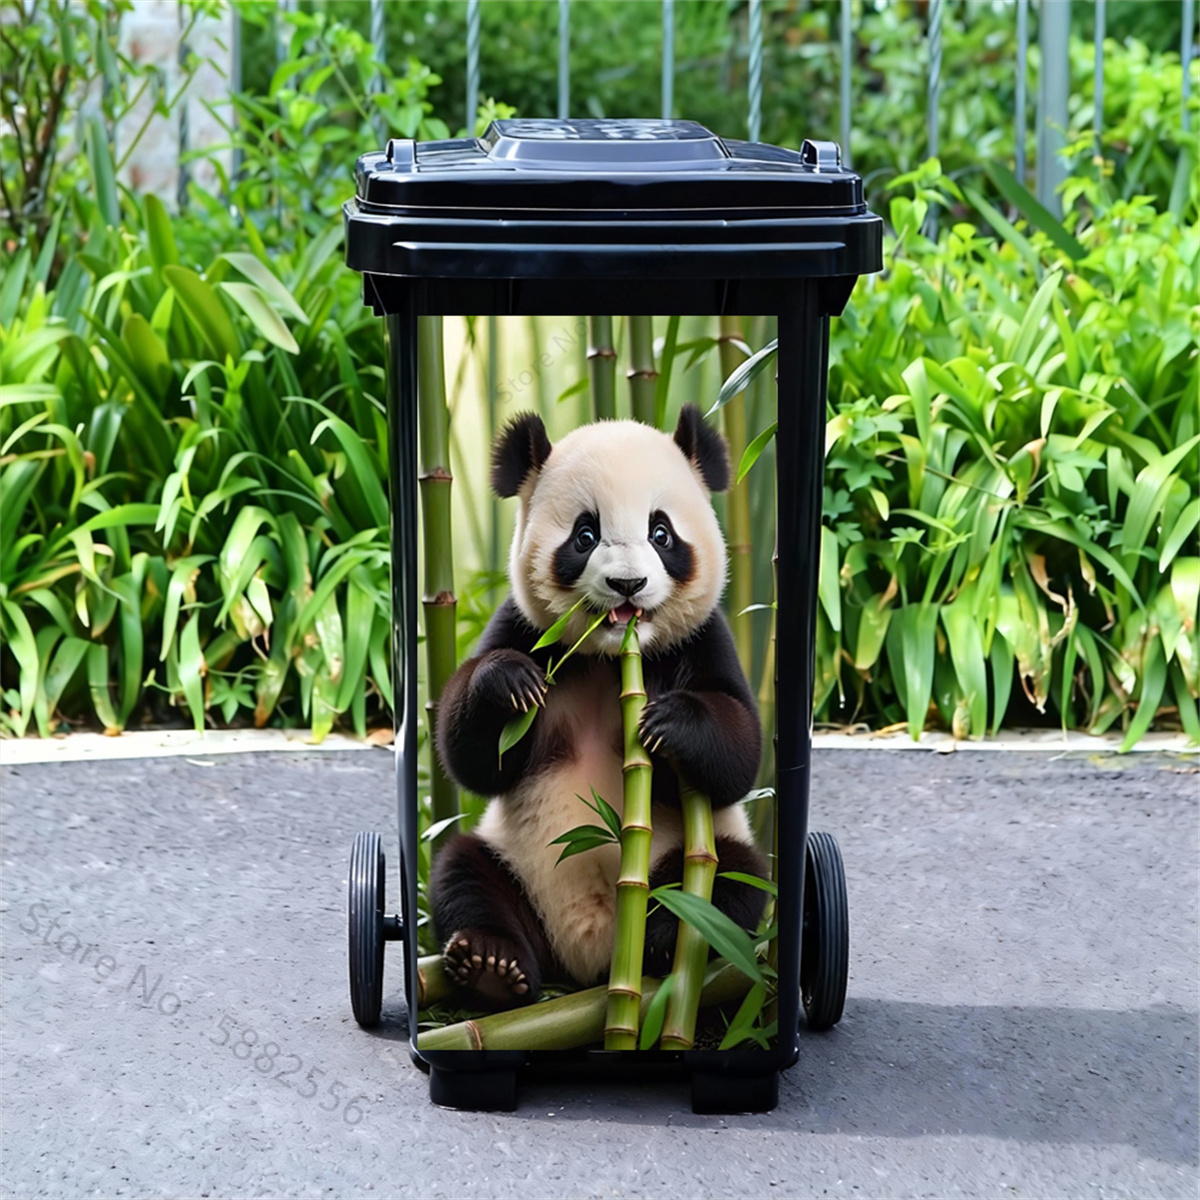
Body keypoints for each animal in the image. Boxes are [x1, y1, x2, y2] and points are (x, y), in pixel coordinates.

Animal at [432, 405, 768, 1010]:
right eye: (585, 535)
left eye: (661, 533)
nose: (627, 584)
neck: (611, 658)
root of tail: (590, 963)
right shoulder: (526, 629)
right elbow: (473, 758)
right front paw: (507, 682)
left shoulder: (702, 640)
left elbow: (739, 752)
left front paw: (671, 722)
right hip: (514, 865)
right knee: (463, 872)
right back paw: (491, 965)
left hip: (699, 854)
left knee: (730, 881)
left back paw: (666, 935)